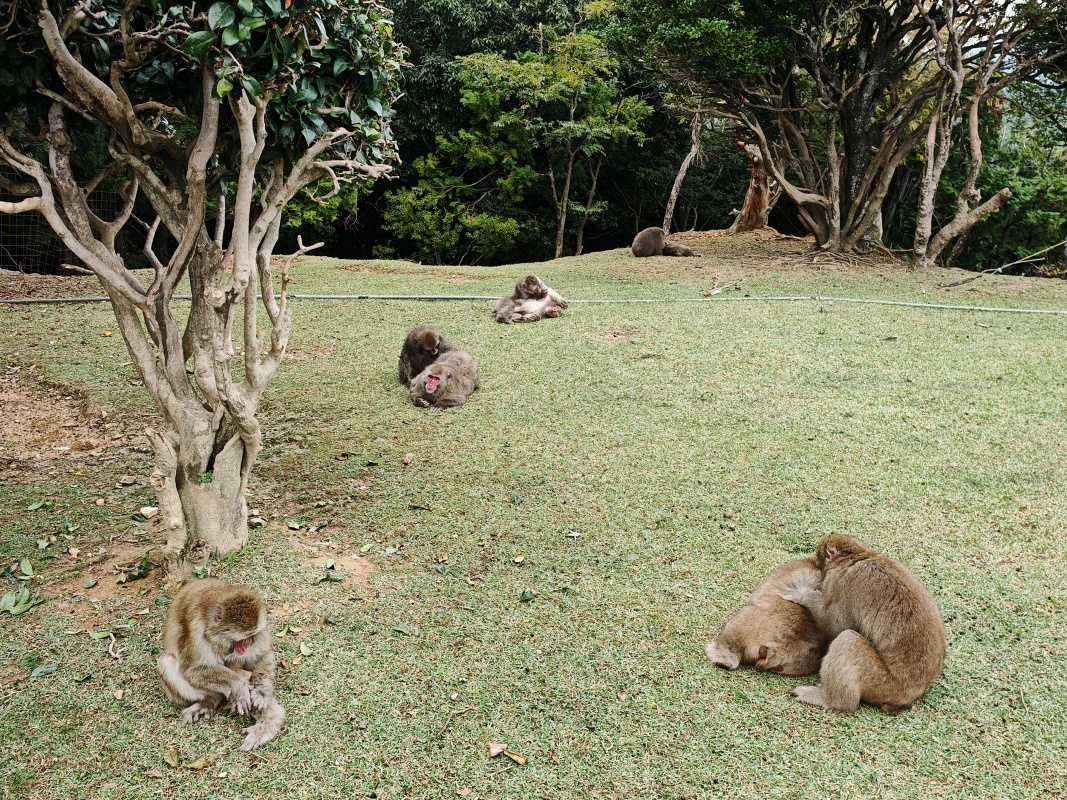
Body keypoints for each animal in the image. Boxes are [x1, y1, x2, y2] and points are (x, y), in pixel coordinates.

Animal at [157, 579, 286, 750]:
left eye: (251, 636)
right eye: (243, 639)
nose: (249, 644)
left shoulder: (261, 631)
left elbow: (261, 656)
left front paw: (261, 692)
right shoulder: (195, 629)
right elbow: (194, 670)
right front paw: (239, 686)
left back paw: (270, 720)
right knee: (166, 662)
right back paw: (210, 700)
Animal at [781, 535, 946, 713]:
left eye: (819, 561)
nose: (818, 571)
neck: (857, 557)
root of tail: (910, 695)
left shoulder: (841, 582)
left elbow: (836, 623)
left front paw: (802, 594)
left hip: (881, 682)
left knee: (847, 638)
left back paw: (832, 700)